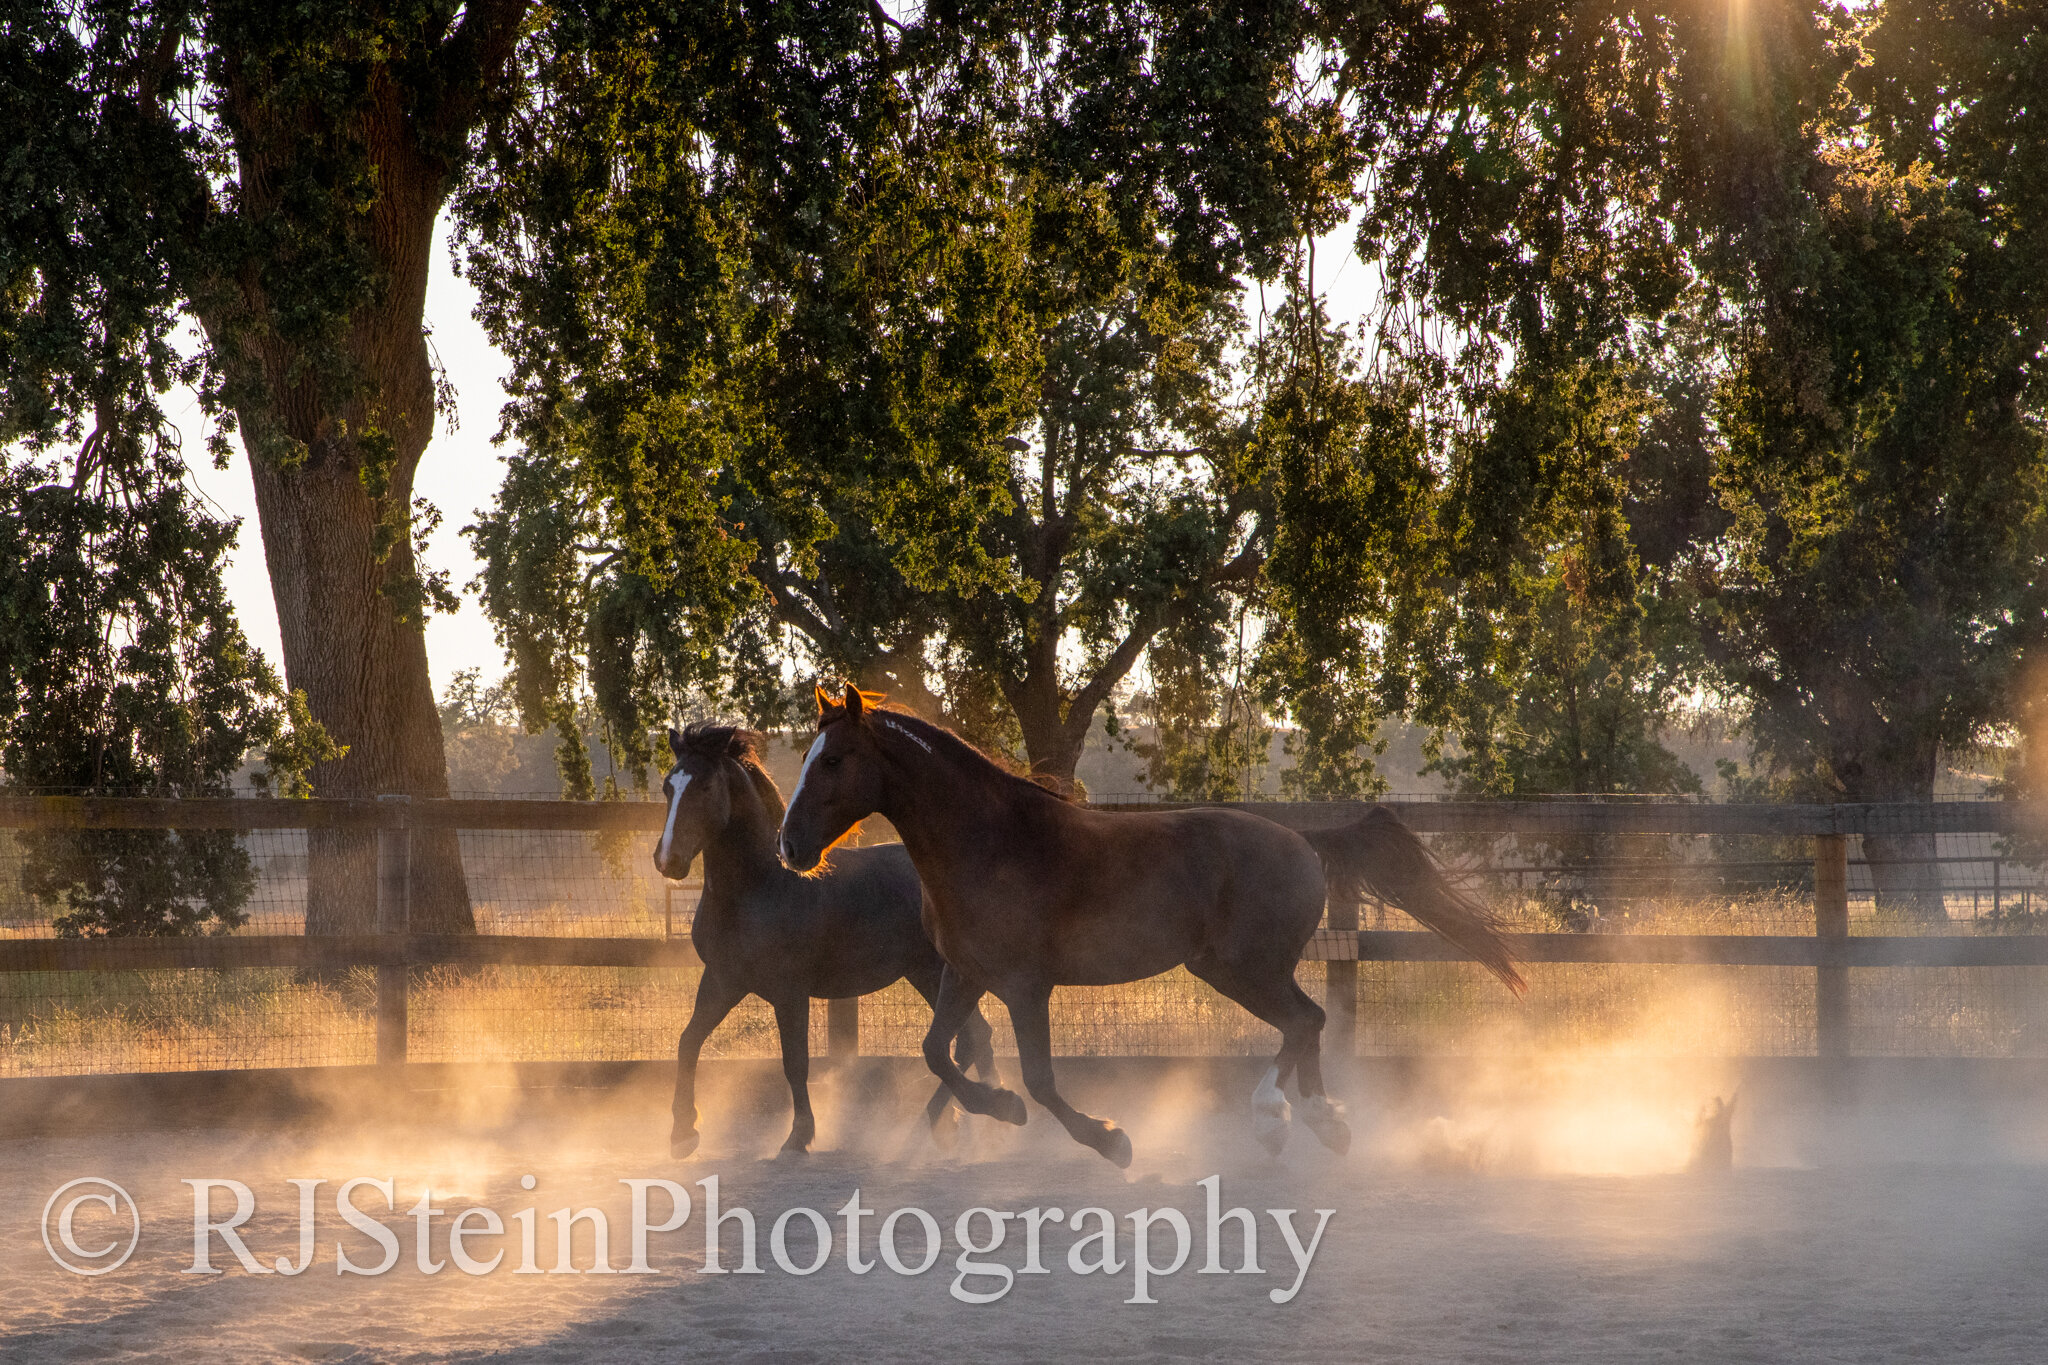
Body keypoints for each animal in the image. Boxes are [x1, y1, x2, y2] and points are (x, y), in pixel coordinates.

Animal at [651, 720, 995, 1162]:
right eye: (668, 786)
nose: (668, 861)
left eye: (707, 786)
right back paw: (963, 1126)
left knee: (968, 1040)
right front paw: (682, 1133)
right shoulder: (723, 980)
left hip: (938, 973)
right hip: (925, 974)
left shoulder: (790, 992)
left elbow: (795, 1062)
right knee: (972, 1040)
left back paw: (944, 1125)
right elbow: (688, 1041)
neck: (761, 888)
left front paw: (798, 1136)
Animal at [774, 687, 1531, 1170]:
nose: (789, 846)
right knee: (1308, 1023)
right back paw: (1324, 1124)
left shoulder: (1025, 986)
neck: (989, 844)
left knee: (1305, 1021)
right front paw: (1001, 1109)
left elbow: (1041, 1078)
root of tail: (1302, 839)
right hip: (1238, 968)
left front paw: (1110, 1140)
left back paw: (1278, 1117)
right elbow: (937, 1052)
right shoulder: (966, 974)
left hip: (1240, 968)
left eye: (833, 759)